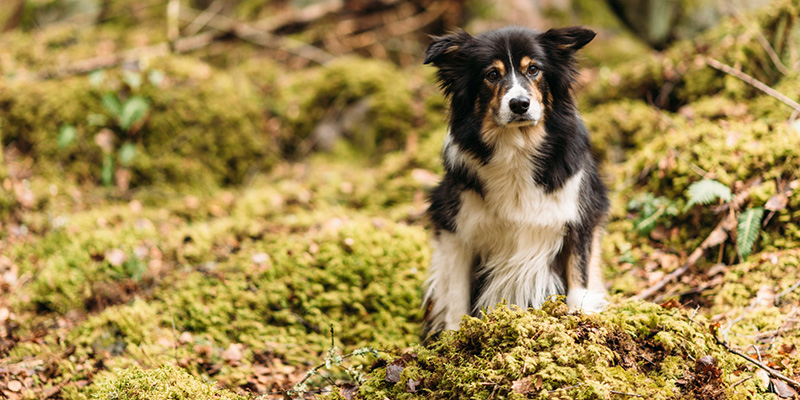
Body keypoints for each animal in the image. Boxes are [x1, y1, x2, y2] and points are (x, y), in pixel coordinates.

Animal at [422, 26, 608, 336]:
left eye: (533, 69)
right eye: (491, 74)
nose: (520, 104)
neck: (517, 146)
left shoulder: (580, 216)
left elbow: (578, 278)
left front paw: (580, 321)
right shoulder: (455, 227)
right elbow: (457, 292)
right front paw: (454, 336)